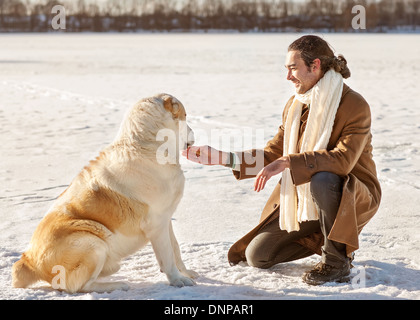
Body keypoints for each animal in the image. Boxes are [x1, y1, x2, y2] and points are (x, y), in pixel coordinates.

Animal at [11, 93, 199, 292]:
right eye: (185, 115)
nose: (194, 132)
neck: (145, 147)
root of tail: (29, 260)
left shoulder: (165, 219)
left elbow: (175, 249)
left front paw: (186, 273)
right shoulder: (157, 223)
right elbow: (167, 256)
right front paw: (178, 280)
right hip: (93, 242)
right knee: (78, 286)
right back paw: (117, 284)